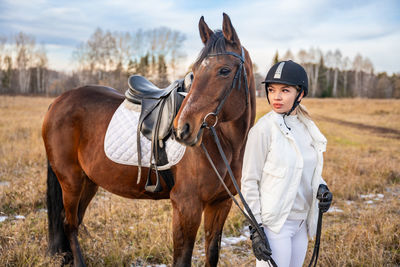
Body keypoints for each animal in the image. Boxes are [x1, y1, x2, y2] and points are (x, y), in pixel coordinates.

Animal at [42, 13, 256, 266]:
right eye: (194, 71)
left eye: (224, 70)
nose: (182, 129)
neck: (222, 143)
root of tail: (59, 101)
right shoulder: (187, 206)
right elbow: (182, 259)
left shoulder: (220, 203)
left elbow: (212, 252)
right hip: (70, 180)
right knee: (70, 224)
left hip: (88, 181)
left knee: (73, 220)